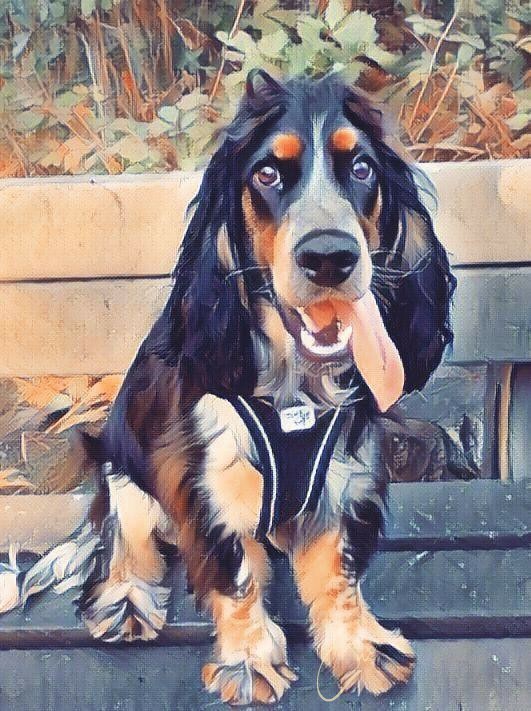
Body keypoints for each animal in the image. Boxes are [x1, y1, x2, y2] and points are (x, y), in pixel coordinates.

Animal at [1, 71, 455, 705]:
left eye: (362, 168)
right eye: (266, 174)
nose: (330, 257)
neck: (294, 394)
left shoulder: (345, 476)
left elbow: (336, 569)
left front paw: (362, 645)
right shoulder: (208, 485)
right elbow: (234, 574)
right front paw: (248, 662)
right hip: (122, 461)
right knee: (122, 533)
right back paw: (124, 599)